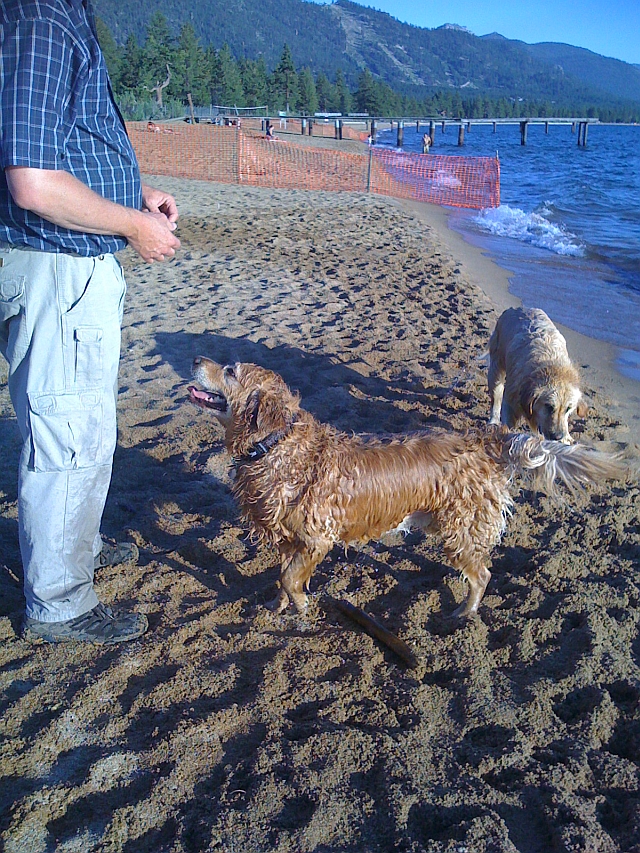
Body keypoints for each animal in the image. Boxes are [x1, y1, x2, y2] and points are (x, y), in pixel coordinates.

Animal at [189, 356, 624, 616]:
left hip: (461, 529)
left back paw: (464, 613)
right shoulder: (286, 538)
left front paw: (303, 609)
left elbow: (290, 579)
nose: (196, 359)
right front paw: (279, 608)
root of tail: (485, 438)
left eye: (230, 370)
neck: (276, 444)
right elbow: (283, 576)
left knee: (482, 575)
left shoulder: (317, 540)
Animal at [488, 306, 588, 442]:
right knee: (496, 397)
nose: (557, 436)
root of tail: (518, 308)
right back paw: (493, 421)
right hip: (496, 367)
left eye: (568, 409)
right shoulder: (510, 400)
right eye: (549, 406)